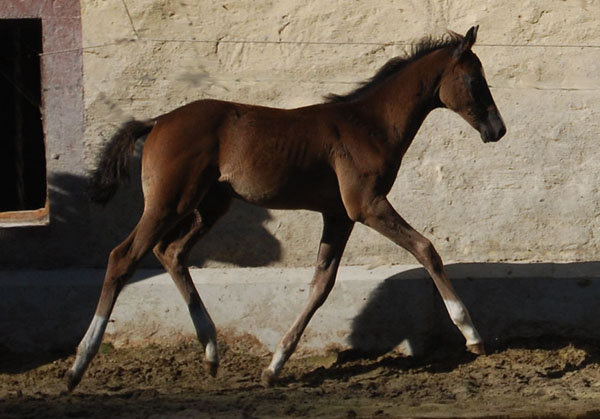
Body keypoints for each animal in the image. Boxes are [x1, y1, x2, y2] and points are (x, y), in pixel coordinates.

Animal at [65, 27, 506, 390]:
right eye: (475, 80)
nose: (497, 130)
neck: (368, 124)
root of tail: (156, 121)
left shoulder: (339, 215)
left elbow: (321, 284)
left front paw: (274, 366)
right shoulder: (366, 206)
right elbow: (426, 249)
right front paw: (472, 334)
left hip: (210, 205)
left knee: (170, 252)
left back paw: (211, 352)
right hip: (168, 203)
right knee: (123, 257)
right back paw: (78, 366)